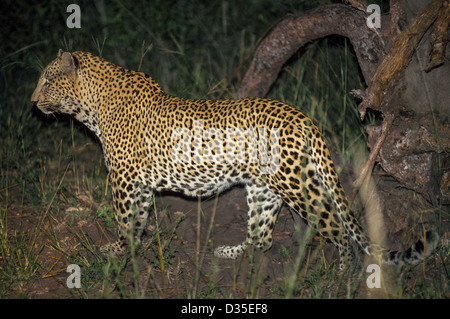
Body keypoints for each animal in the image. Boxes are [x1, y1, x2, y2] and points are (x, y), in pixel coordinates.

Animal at [31, 51, 440, 272]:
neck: (93, 105)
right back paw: (229, 253)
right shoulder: (140, 183)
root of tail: (302, 117)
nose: (33, 102)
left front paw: (117, 252)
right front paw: (137, 247)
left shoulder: (124, 179)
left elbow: (124, 219)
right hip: (264, 189)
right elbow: (141, 218)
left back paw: (341, 275)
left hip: (298, 186)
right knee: (262, 237)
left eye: (47, 81)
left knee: (336, 229)